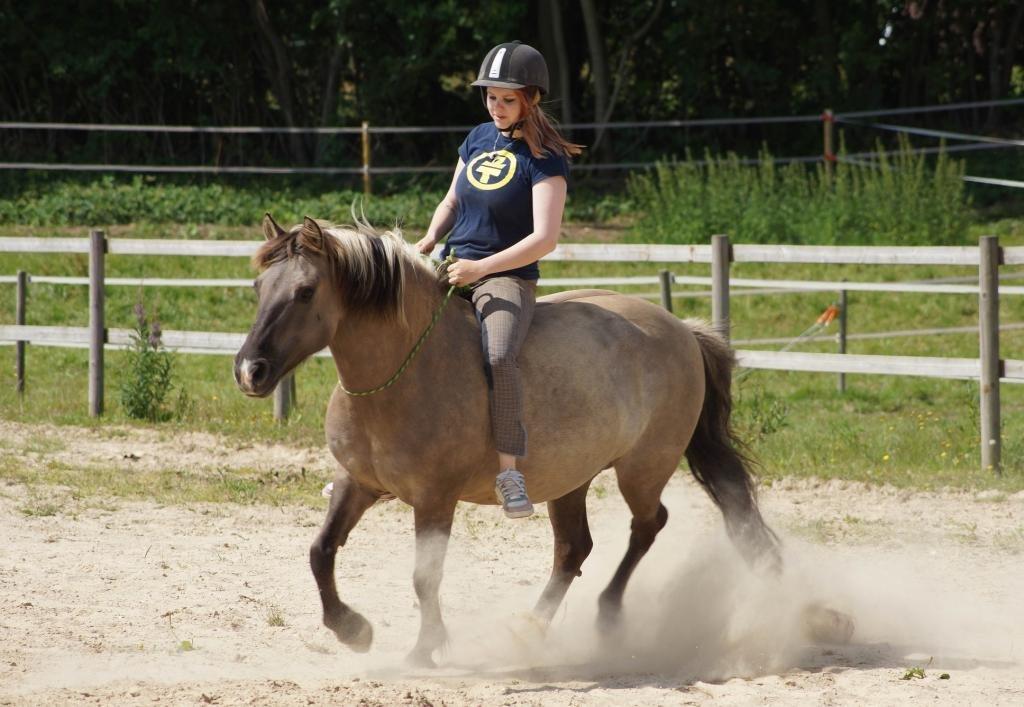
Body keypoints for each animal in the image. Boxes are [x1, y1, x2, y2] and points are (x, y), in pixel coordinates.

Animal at [237, 215, 782, 668]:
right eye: (259, 286)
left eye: (306, 291)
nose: (249, 371)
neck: (406, 370)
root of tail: (684, 331)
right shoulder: (357, 483)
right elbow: (321, 550)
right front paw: (353, 630)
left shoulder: (435, 500)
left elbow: (425, 576)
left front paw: (424, 649)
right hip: (572, 478)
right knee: (573, 550)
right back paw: (530, 628)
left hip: (643, 469)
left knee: (648, 526)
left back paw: (606, 613)